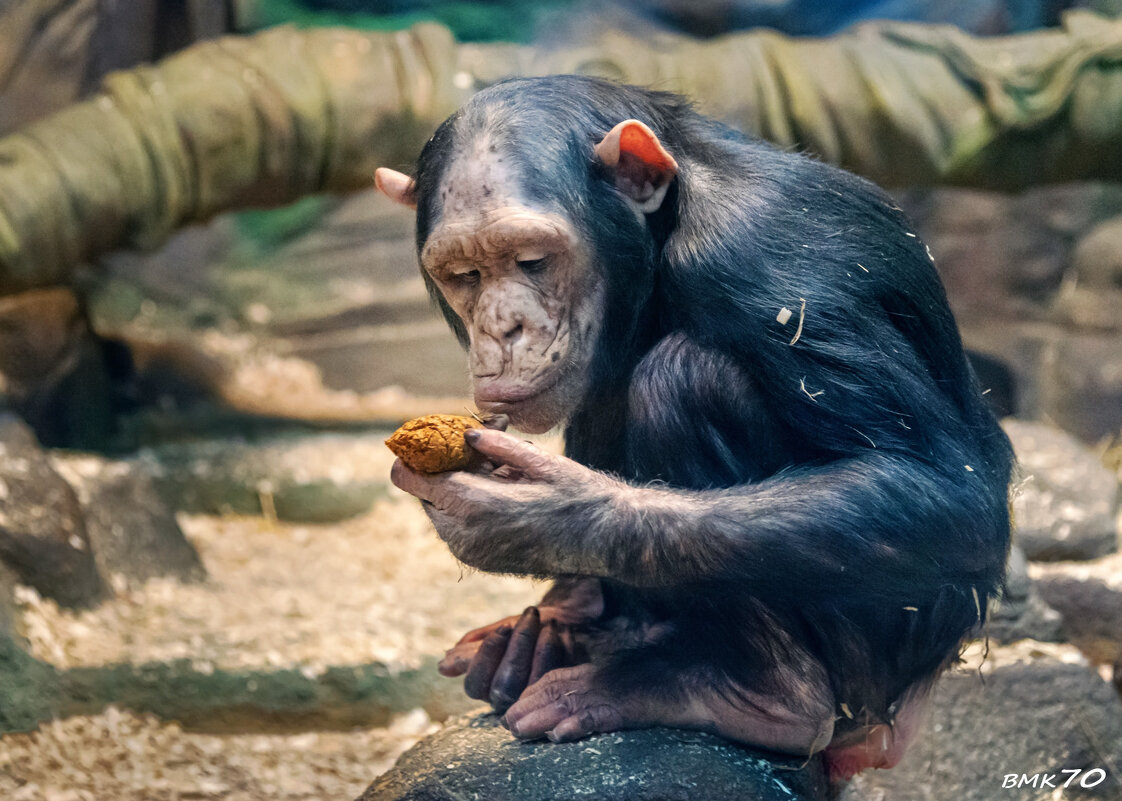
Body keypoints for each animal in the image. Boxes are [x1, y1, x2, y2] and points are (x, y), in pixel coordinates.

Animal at [376, 77, 1018, 785]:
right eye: (464, 275)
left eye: (532, 260)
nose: (502, 328)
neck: (664, 233)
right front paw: (554, 616)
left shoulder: (772, 259)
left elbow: (941, 487)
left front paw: (543, 517)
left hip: (884, 661)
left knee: (682, 376)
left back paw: (750, 695)